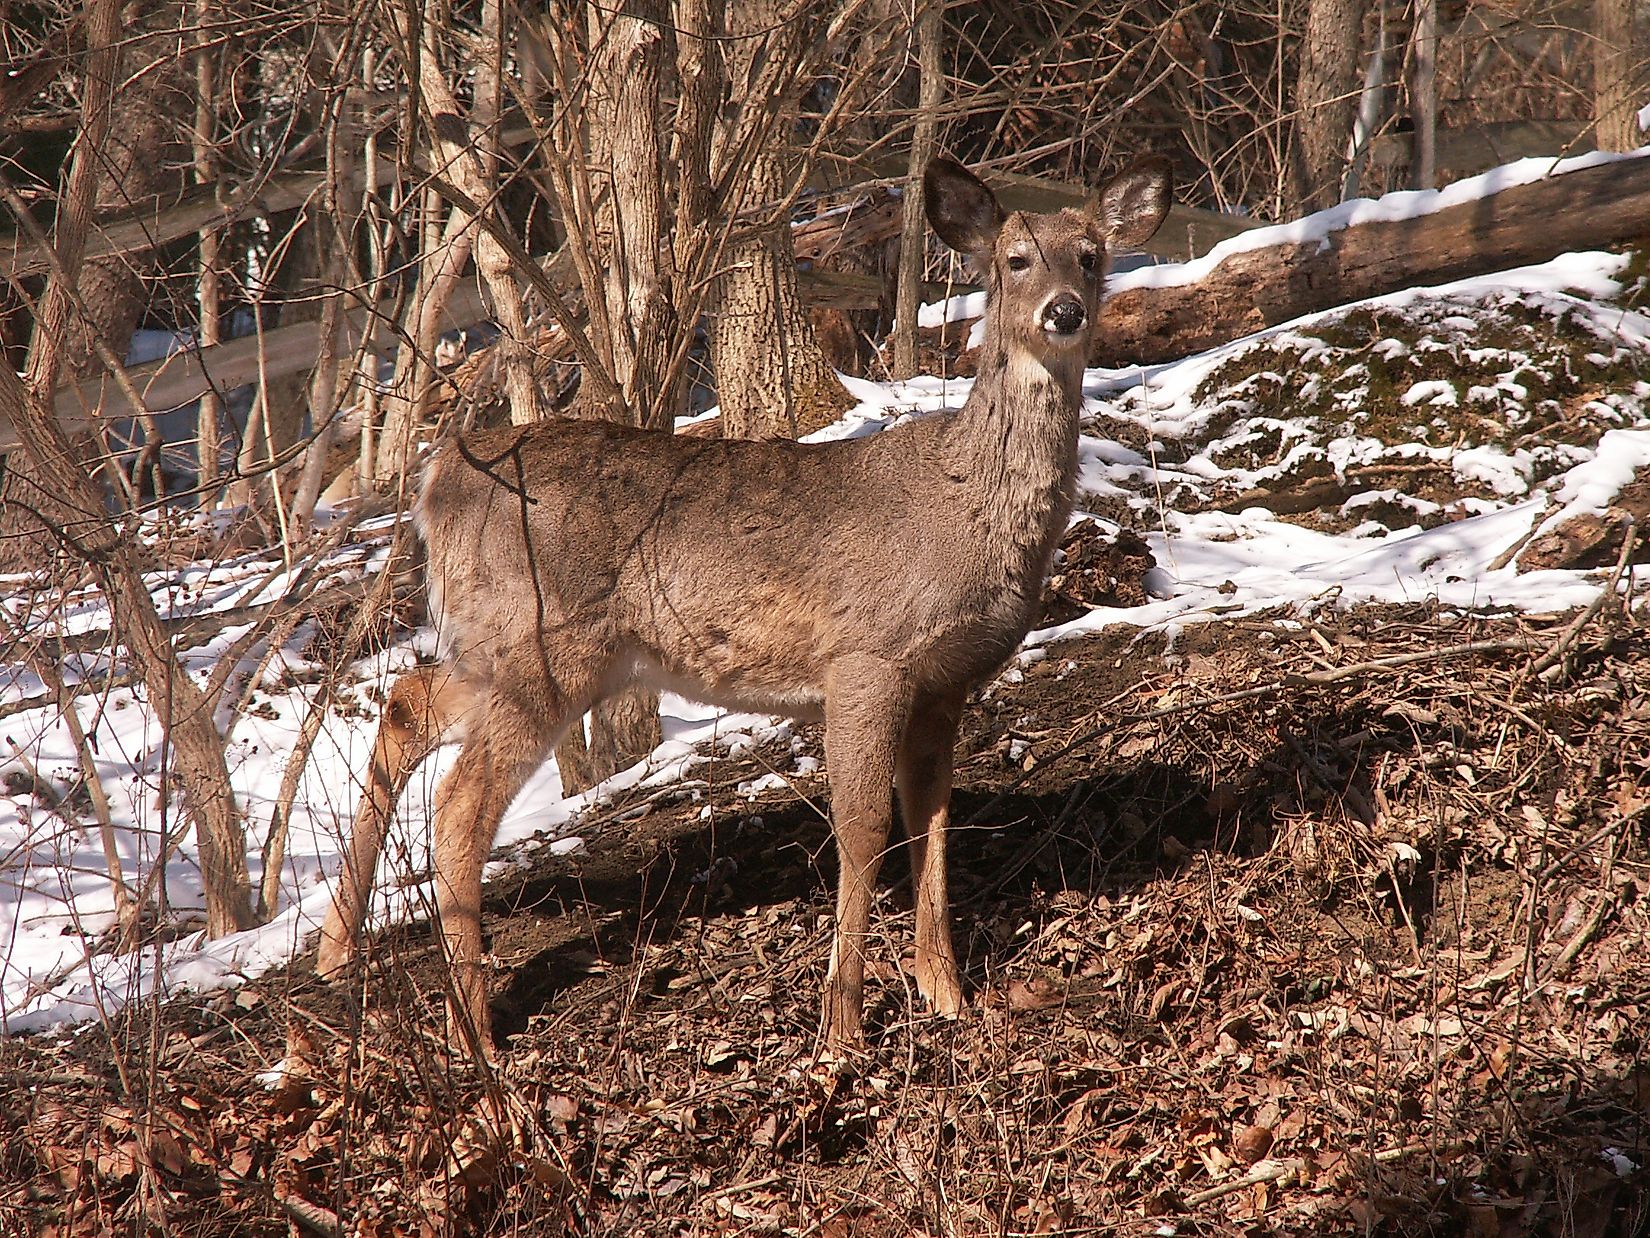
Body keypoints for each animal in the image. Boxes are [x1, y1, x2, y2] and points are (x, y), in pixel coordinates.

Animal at [318, 150, 1174, 1049]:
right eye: (1014, 260)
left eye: (1091, 255)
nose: (1065, 310)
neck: (960, 506)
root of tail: (438, 475)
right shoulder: (865, 658)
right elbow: (863, 828)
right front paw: (842, 1025)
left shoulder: (947, 682)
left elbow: (932, 820)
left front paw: (947, 993)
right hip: (548, 643)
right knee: (459, 806)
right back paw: (474, 1034)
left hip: (507, 644)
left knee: (407, 704)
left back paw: (340, 951)